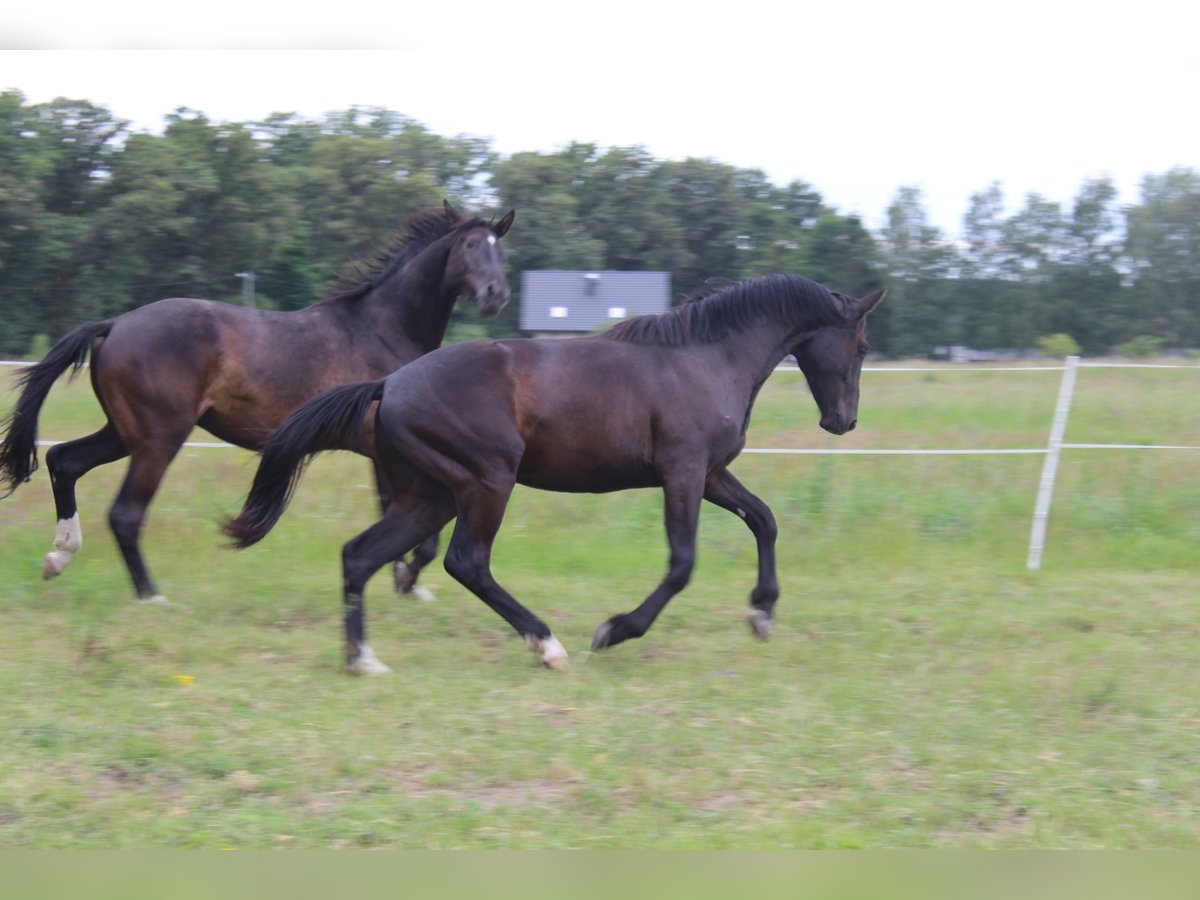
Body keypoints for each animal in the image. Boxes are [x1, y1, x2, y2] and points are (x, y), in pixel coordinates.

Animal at [0, 200, 516, 602]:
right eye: (470, 247)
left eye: (501, 250)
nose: (496, 295)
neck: (381, 328)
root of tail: (114, 324)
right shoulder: (388, 452)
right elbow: (413, 526)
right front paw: (407, 579)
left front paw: (407, 582)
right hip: (159, 438)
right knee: (125, 513)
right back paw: (151, 596)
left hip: (124, 433)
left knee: (64, 460)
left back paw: (58, 557)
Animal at [223, 274, 883, 676]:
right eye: (862, 347)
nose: (843, 421)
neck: (705, 360)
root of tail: (390, 383)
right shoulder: (684, 472)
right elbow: (682, 563)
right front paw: (615, 630)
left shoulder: (713, 474)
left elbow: (764, 521)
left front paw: (762, 614)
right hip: (486, 482)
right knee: (467, 561)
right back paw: (548, 645)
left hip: (428, 497)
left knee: (359, 556)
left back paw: (364, 660)